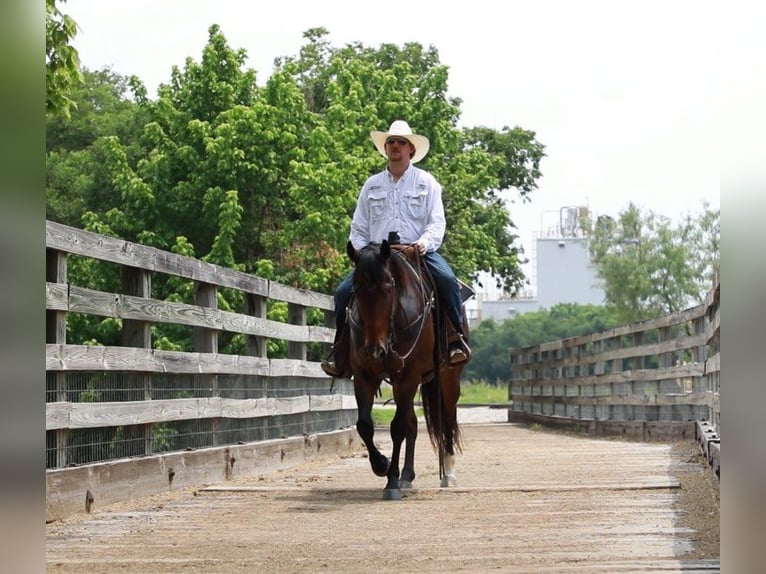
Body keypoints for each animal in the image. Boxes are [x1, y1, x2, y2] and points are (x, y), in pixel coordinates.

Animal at [345, 239, 466, 500]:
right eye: (356, 288)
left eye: (388, 286)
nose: (375, 350)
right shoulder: (364, 375)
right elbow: (365, 424)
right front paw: (381, 465)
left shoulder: (409, 376)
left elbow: (398, 426)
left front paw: (391, 480)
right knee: (412, 422)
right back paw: (407, 476)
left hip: (447, 379)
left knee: (447, 418)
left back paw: (448, 474)